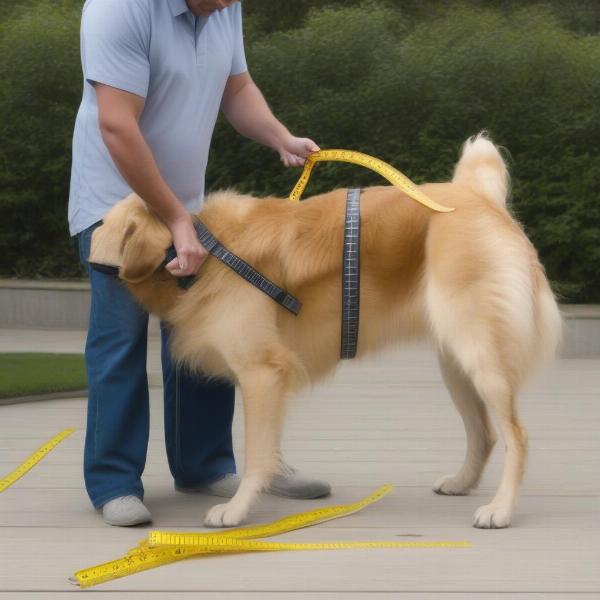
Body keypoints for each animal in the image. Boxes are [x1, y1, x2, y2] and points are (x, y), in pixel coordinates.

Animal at [89, 134, 564, 528]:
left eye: (103, 230)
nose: (83, 248)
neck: (208, 252)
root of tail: (476, 195)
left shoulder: (263, 372)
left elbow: (257, 453)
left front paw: (237, 510)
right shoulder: (268, 379)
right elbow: (268, 447)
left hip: (479, 354)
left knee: (516, 436)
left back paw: (500, 509)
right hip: (456, 362)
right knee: (484, 433)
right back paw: (462, 483)